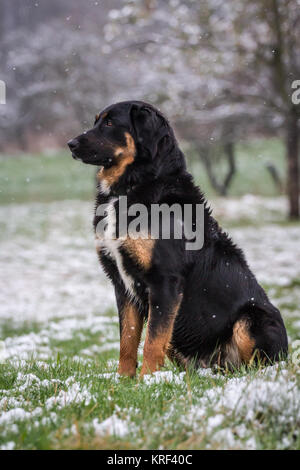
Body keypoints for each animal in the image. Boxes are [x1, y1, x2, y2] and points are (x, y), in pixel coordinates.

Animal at [68, 101, 288, 376]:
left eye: (109, 123)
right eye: (96, 120)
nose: (70, 144)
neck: (134, 186)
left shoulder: (164, 281)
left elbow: (152, 341)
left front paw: (147, 380)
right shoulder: (122, 284)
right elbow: (127, 340)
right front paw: (124, 379)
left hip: (252, 319)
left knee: (258, 363)